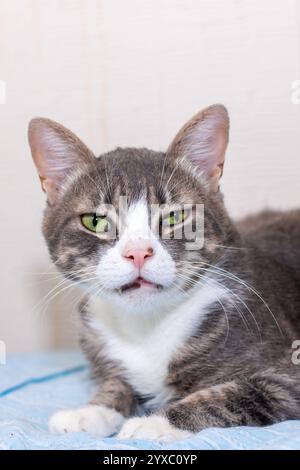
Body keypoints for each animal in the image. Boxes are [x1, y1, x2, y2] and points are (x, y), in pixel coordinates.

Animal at [28, 104, 300, 442]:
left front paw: (155, 423)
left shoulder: (286, 369)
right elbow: (117, 382)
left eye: (175, 216)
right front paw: (92, 410)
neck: (147, 328)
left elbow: (234, 394)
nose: (138, 252)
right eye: (95, 221)